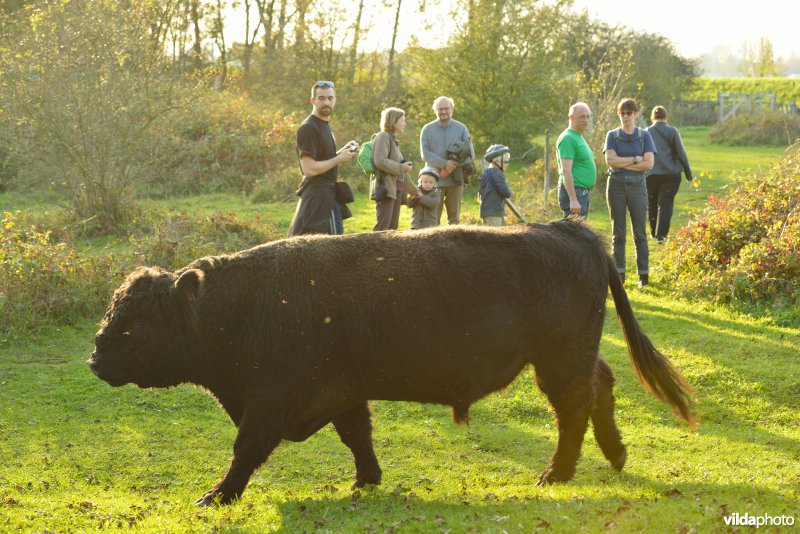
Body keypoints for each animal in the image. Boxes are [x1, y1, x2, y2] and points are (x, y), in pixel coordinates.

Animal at [89, 222, 692, 506]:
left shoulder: (269, 403)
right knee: (600, 387)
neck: (236, 304)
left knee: (574, 407)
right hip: (570, 357)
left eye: (134, 323)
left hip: (557, 361)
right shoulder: (343, 393)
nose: (95, 358)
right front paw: (367, 482)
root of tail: (571, 229)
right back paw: (615, 457)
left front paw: (215, 496)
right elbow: (358, 436)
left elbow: (246, 452)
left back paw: (555, 475)